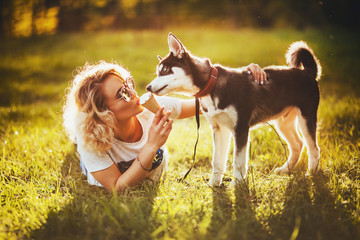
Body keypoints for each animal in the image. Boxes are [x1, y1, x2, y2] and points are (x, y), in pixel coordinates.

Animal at [146, 32, 320, 186]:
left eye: (164, 70)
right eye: (157, 72)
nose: (147, 87)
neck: (211, 85)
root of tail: (307, 72)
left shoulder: (241, 128)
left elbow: (238, 162)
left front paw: (236, 186)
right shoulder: (219, 129)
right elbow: (217, 161)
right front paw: (214, 184)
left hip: (306, 119)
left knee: (313, 148)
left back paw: (311, 174)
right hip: (283, 122)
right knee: (297, 144)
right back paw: (286, 169)